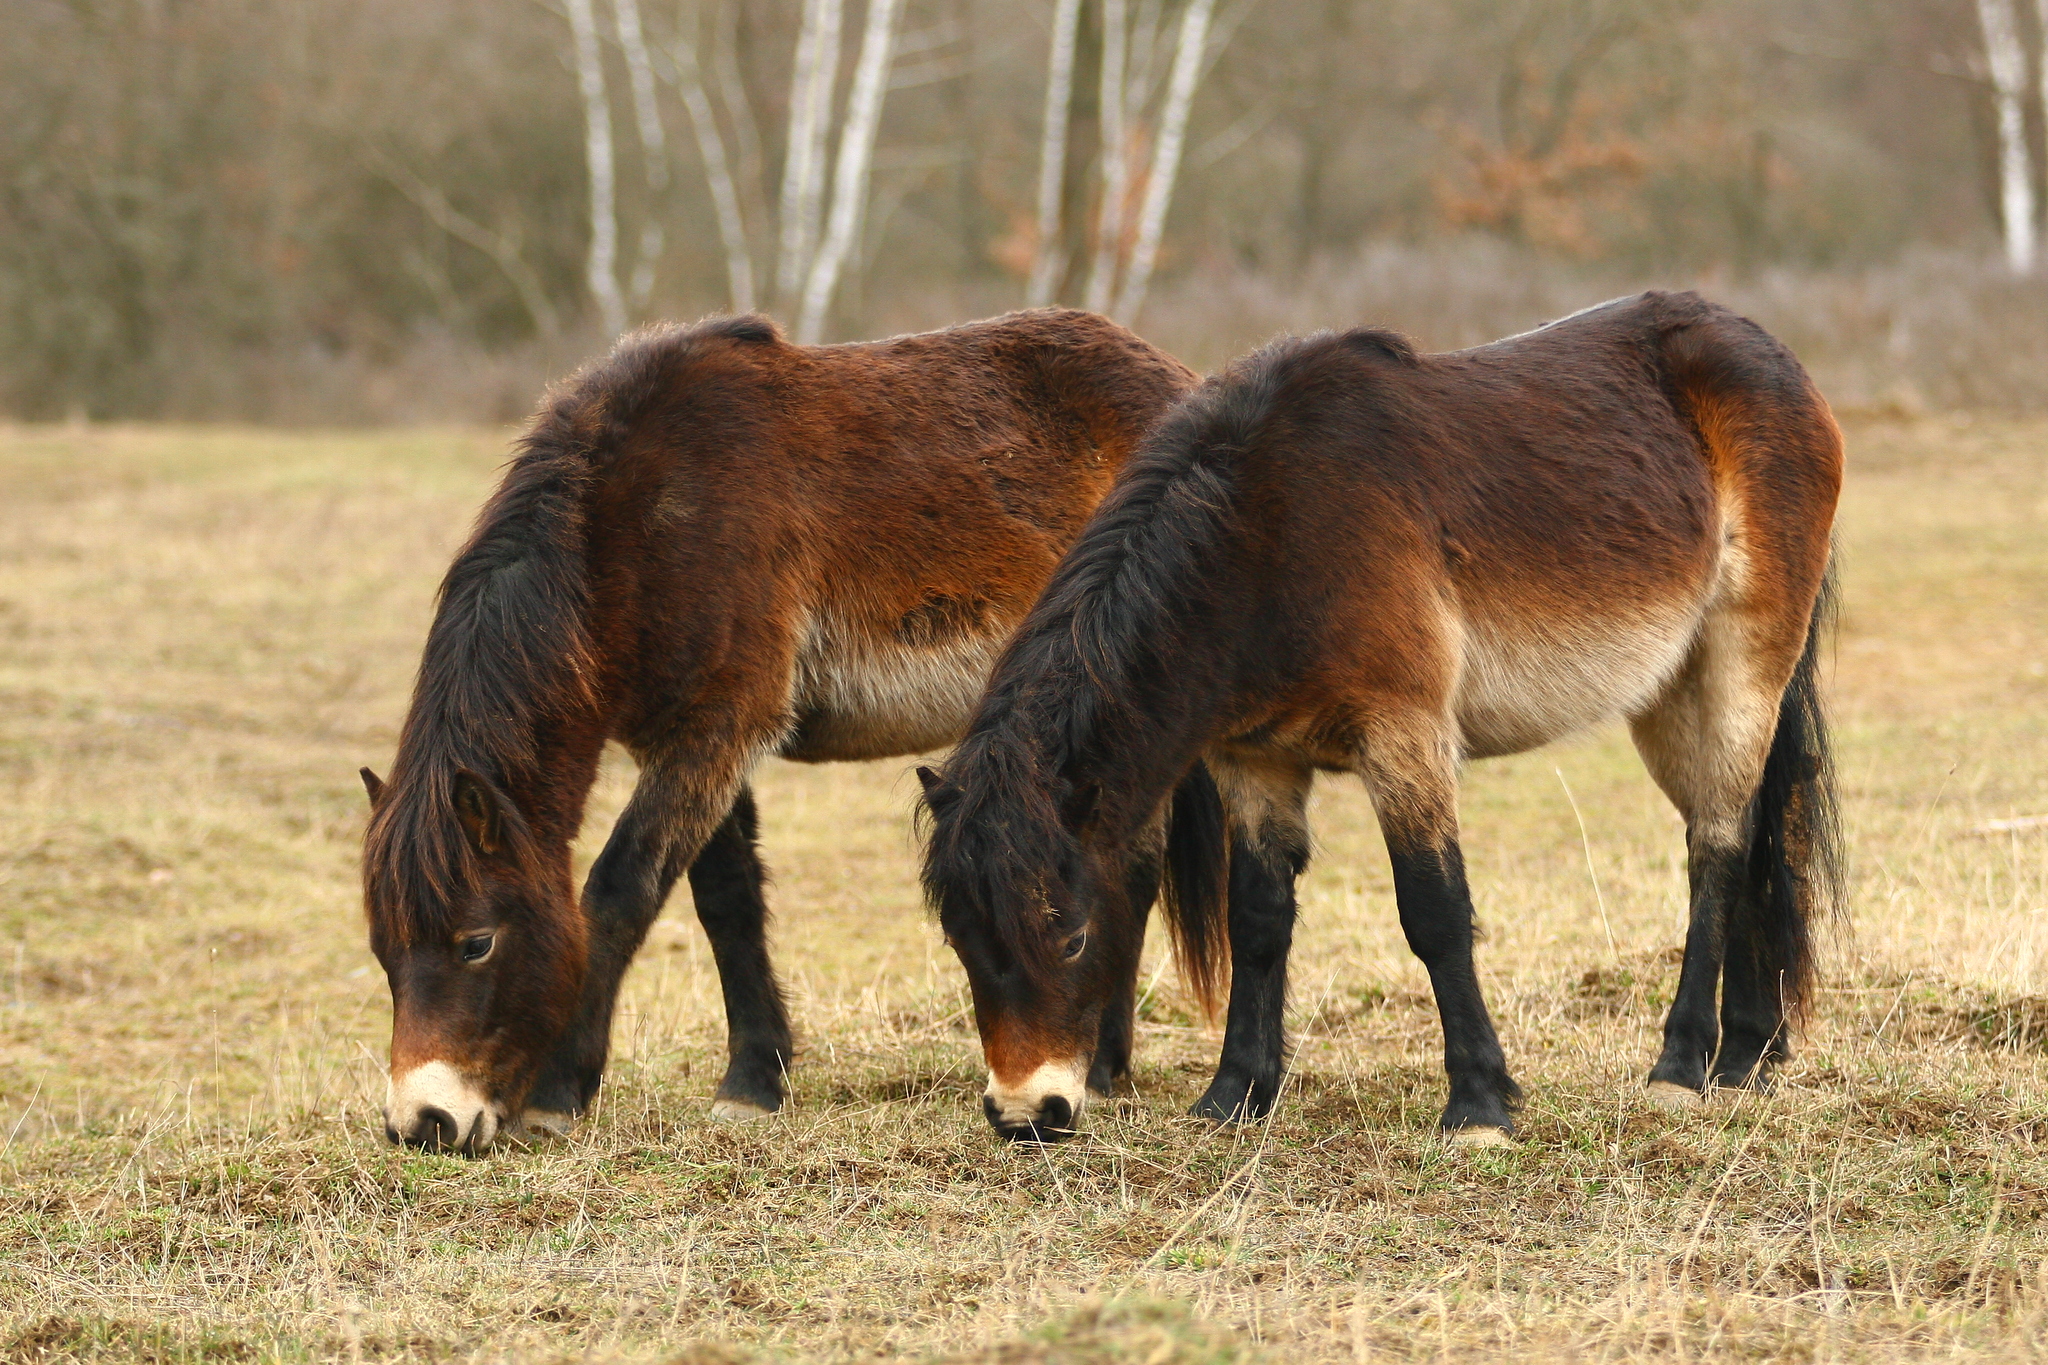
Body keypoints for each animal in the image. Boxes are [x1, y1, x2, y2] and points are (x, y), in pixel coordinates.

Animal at [358, 309, 1204, 1154]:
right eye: (383, 950)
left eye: (476, 941)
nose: (423, 1122)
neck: (633, 524)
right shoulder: (697, 742)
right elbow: (726, 899)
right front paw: (753, 1081)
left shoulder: (717, 733)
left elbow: (620, 890)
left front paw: (558, 1092)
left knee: (1130, 870)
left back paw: (1104, 1070)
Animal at [921, 294, 1851, 1146]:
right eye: (962, 940)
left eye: (1073, 937)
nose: (1025, 1112)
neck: (1272, 528)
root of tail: (1766, 356)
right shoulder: (1254, 760)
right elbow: (1258, 918)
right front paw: (1236, 1093)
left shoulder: (1404, 738)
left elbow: (1434, 912)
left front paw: (1478, 1105)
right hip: (1670, 695)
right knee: (1753, 830)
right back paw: (1747, 1055)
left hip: (1739, 665)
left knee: (1719, 845)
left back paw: (1681, 1066)